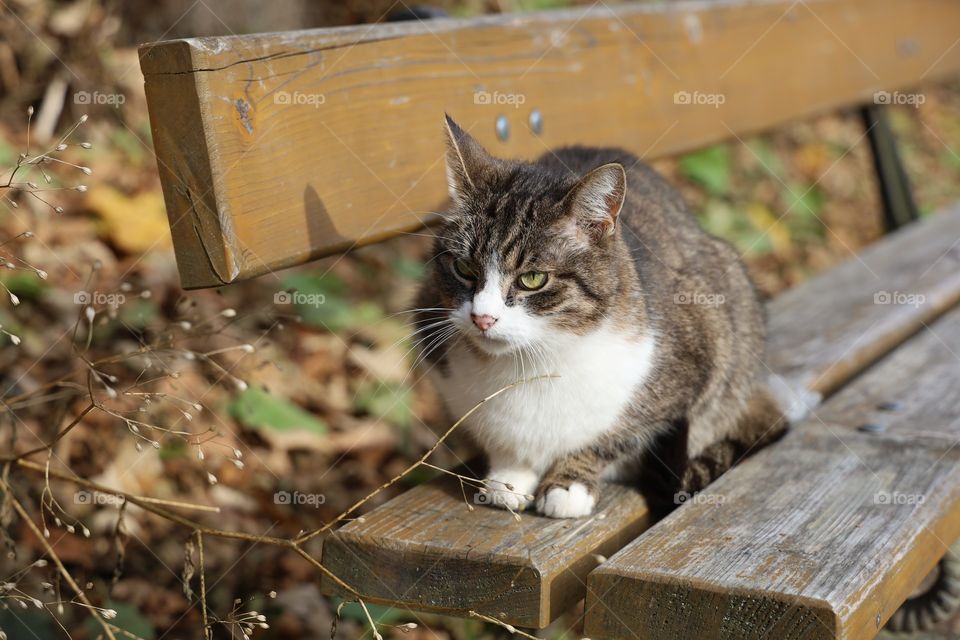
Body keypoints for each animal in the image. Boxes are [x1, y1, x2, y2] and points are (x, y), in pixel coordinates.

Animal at [412, 114, 808, 516]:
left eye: (532, 279)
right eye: (464, 268)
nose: (483, 318)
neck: (532, 361)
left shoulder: (698, 352)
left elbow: (612, 437)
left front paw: (568, 482)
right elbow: (499, 439)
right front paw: (509, 476)